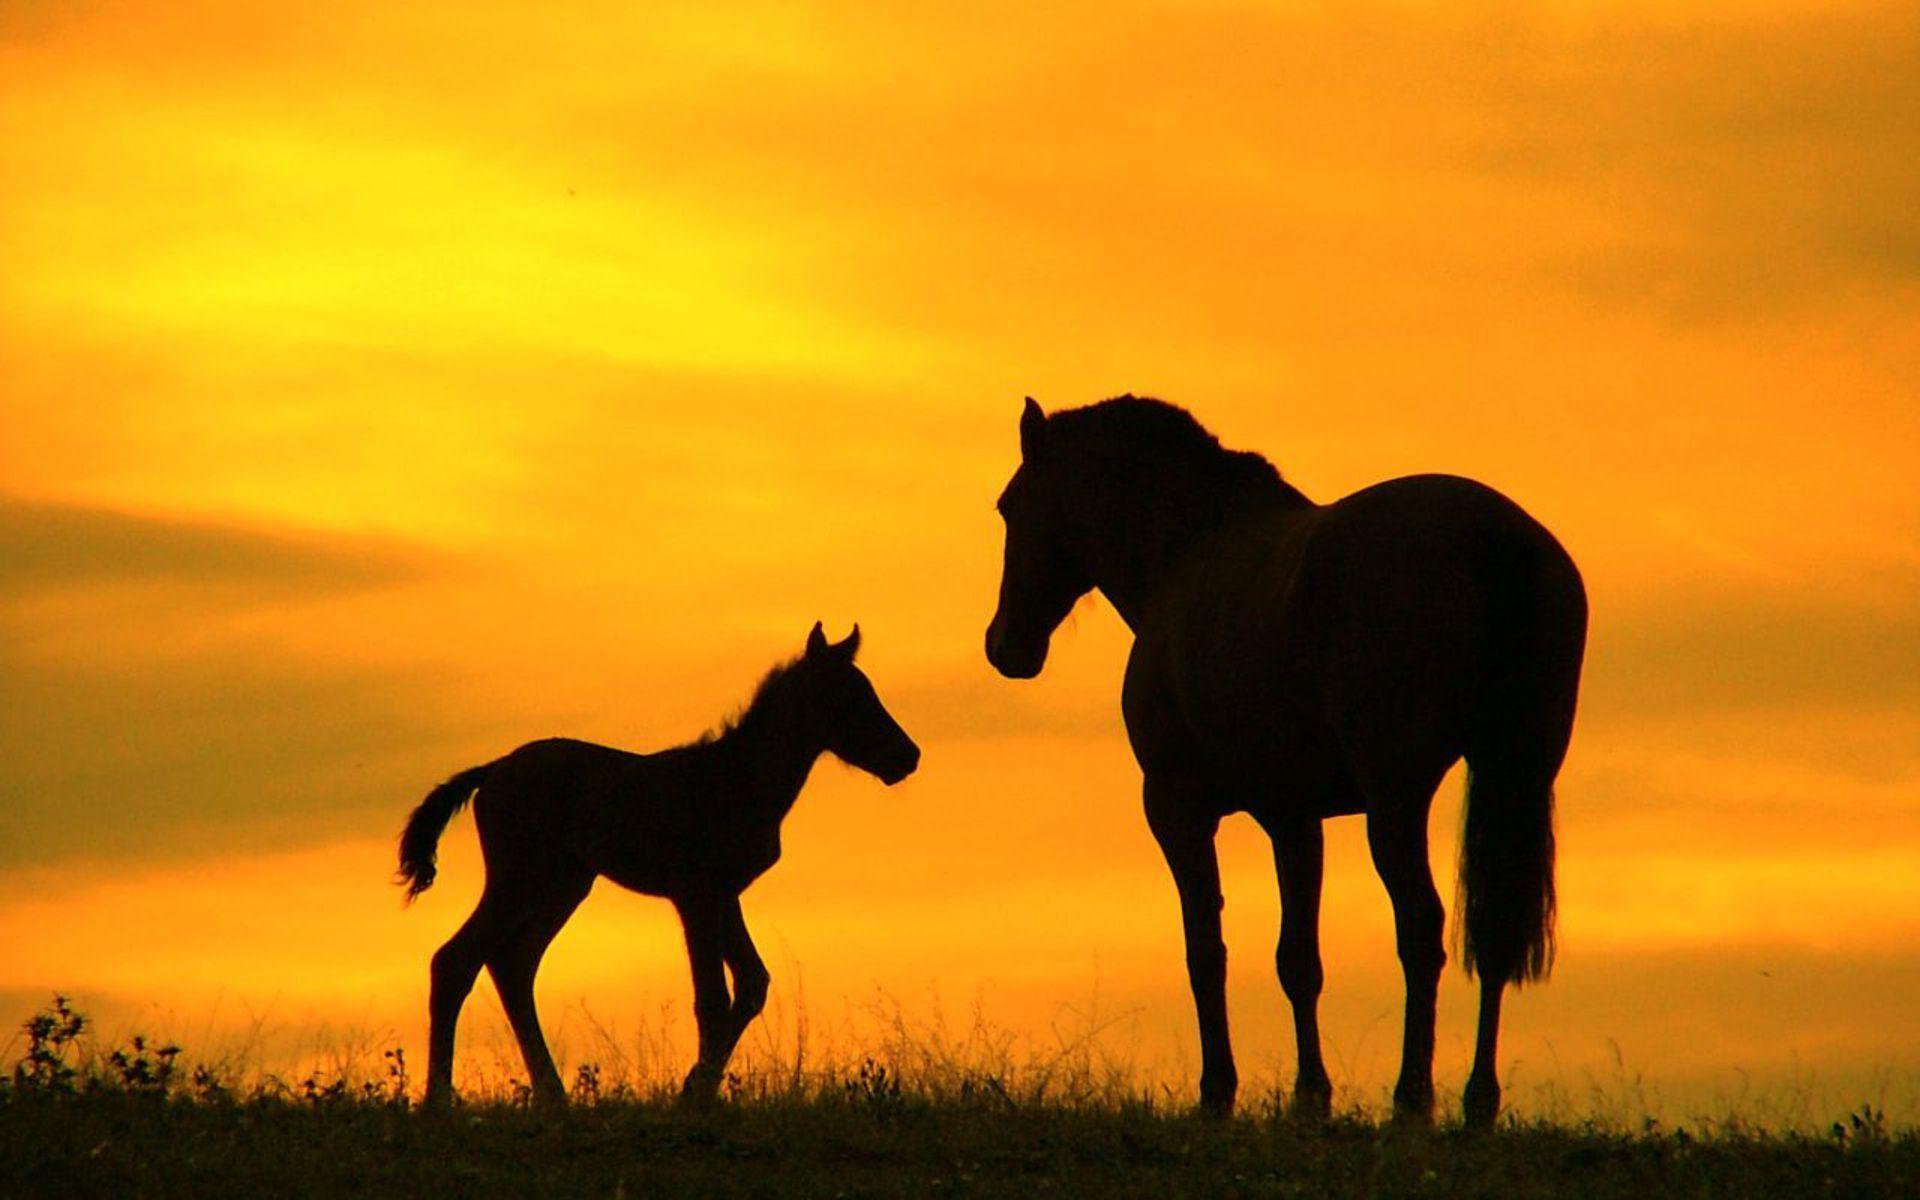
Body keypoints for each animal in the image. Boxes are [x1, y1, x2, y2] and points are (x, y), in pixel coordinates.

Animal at [396, 622, 920, 1107]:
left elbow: (752, 983)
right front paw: (695, 1095)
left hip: (562, 886)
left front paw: (695, 1087)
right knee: (455, 960)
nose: (907, 757)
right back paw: (439, 1099)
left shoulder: (724, 894)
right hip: (517, 879)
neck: (737, 779)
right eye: (847, 698)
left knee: (512, 965)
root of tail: (492, 771)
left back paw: (552, 1095)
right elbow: (713, 999)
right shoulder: (694, 894)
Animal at [985, 396, 1586, 1127]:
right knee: (1493, 929)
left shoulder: (1176, 805)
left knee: (1420, 926)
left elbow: (1205, 948)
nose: (1005, 646)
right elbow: (1299, 959)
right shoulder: (1293, 817)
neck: (1185, 555)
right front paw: (1309, 1097)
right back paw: (1478, 1103)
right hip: (1514, 772)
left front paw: (1218, 1092)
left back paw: (1412, 1100)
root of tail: (1499, 541)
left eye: (1010, 507)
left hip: (1398, 796)